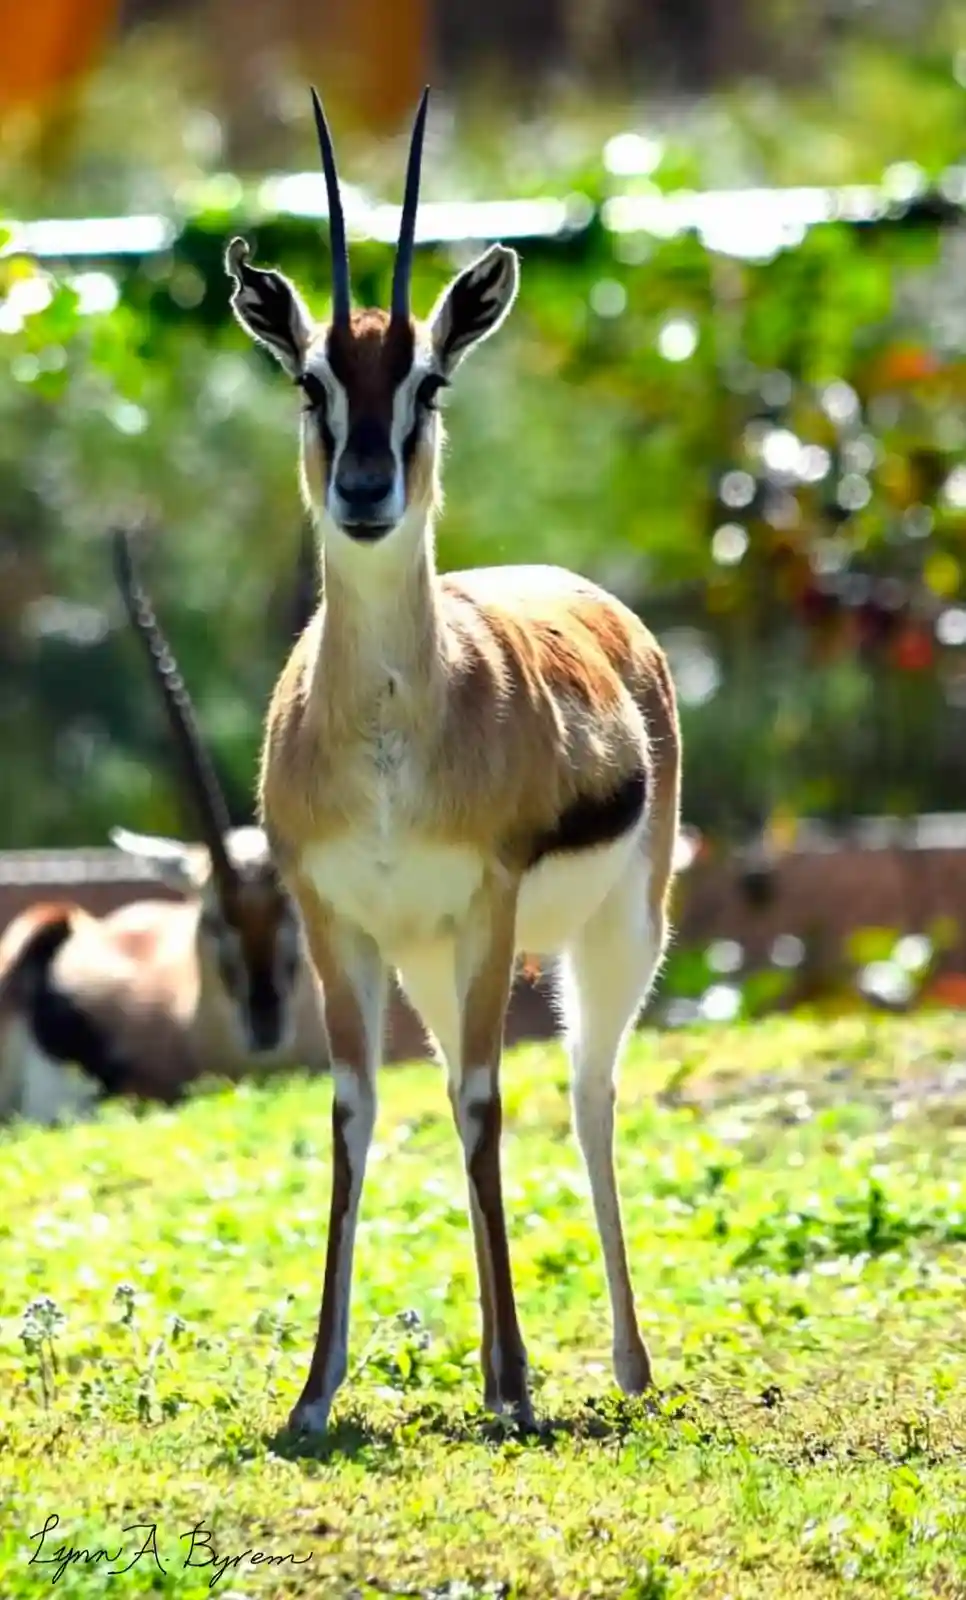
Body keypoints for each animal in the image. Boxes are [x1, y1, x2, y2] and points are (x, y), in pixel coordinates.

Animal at [225, 86, 681, 1435]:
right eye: (312, 377)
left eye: (425, 378)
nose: (367, 488)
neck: (388, 740)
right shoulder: (336, 921)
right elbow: (354, 1111)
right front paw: (314, 1395)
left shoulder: (490, 904)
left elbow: (488, 1105)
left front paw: (520, 1384)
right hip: (427, 962)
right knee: (454, 1094)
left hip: (613, 937)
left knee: (584, 1096)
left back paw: (620, 1366)